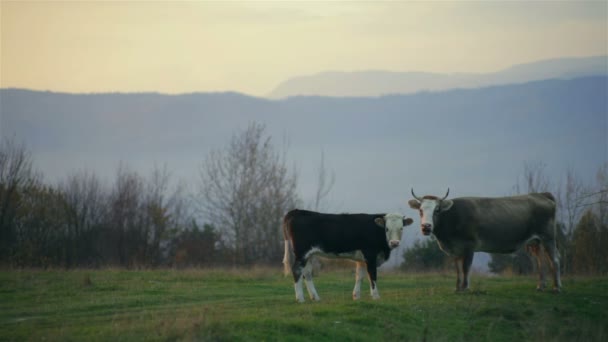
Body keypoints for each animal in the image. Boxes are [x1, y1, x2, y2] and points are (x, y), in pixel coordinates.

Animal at [282, 208, 416, 302]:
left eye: (401, 228)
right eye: (387, 228)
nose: (394, 243)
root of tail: (296, 211)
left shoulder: (362, 259)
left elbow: (359, 276)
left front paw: (356, 296)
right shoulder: (370, 255)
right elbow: (372, 276)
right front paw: (376, 296)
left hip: (309, 254)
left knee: (307, 273)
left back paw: (315, 297)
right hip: (301, 253)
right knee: (297, 270)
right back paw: (300, 298)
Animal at [408, 188, 560, 292]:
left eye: (437, 210)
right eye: (420, 210)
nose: (426, 227)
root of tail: (540, 194)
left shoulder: (469, 246)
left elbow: (465, 267)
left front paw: (465, 288)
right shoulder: (456, 248)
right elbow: (458, 268)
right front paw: (457, 288)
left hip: (548, 237)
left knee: (555, 259)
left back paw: (556, 288)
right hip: (535, 241)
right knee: (541, 261)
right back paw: (541, 286)